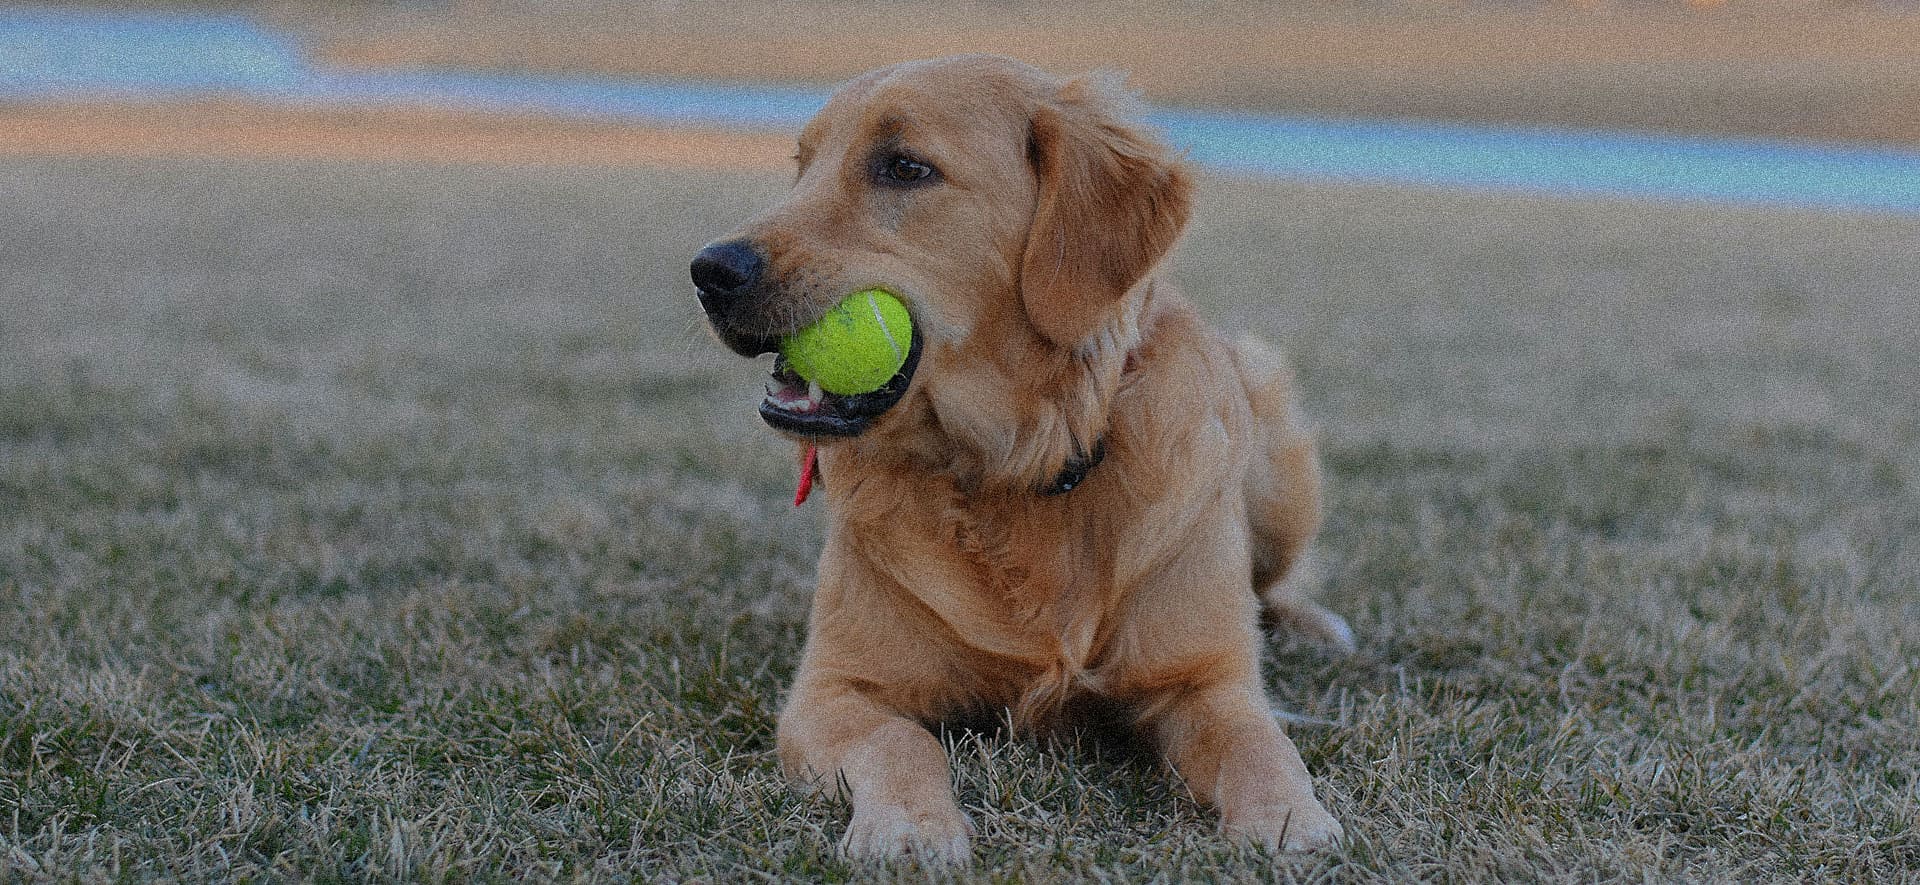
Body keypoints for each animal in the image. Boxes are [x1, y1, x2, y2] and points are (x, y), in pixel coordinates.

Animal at [691, 53, 1351, 863]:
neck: (1017, 467)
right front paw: (911, 825)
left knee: (1277, 582)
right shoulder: (834, 690)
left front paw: (1290, 819)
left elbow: (1260, 745)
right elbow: (901, 744)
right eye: (803, 165)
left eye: (904, 167)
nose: (709, 271)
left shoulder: (1208, 682)